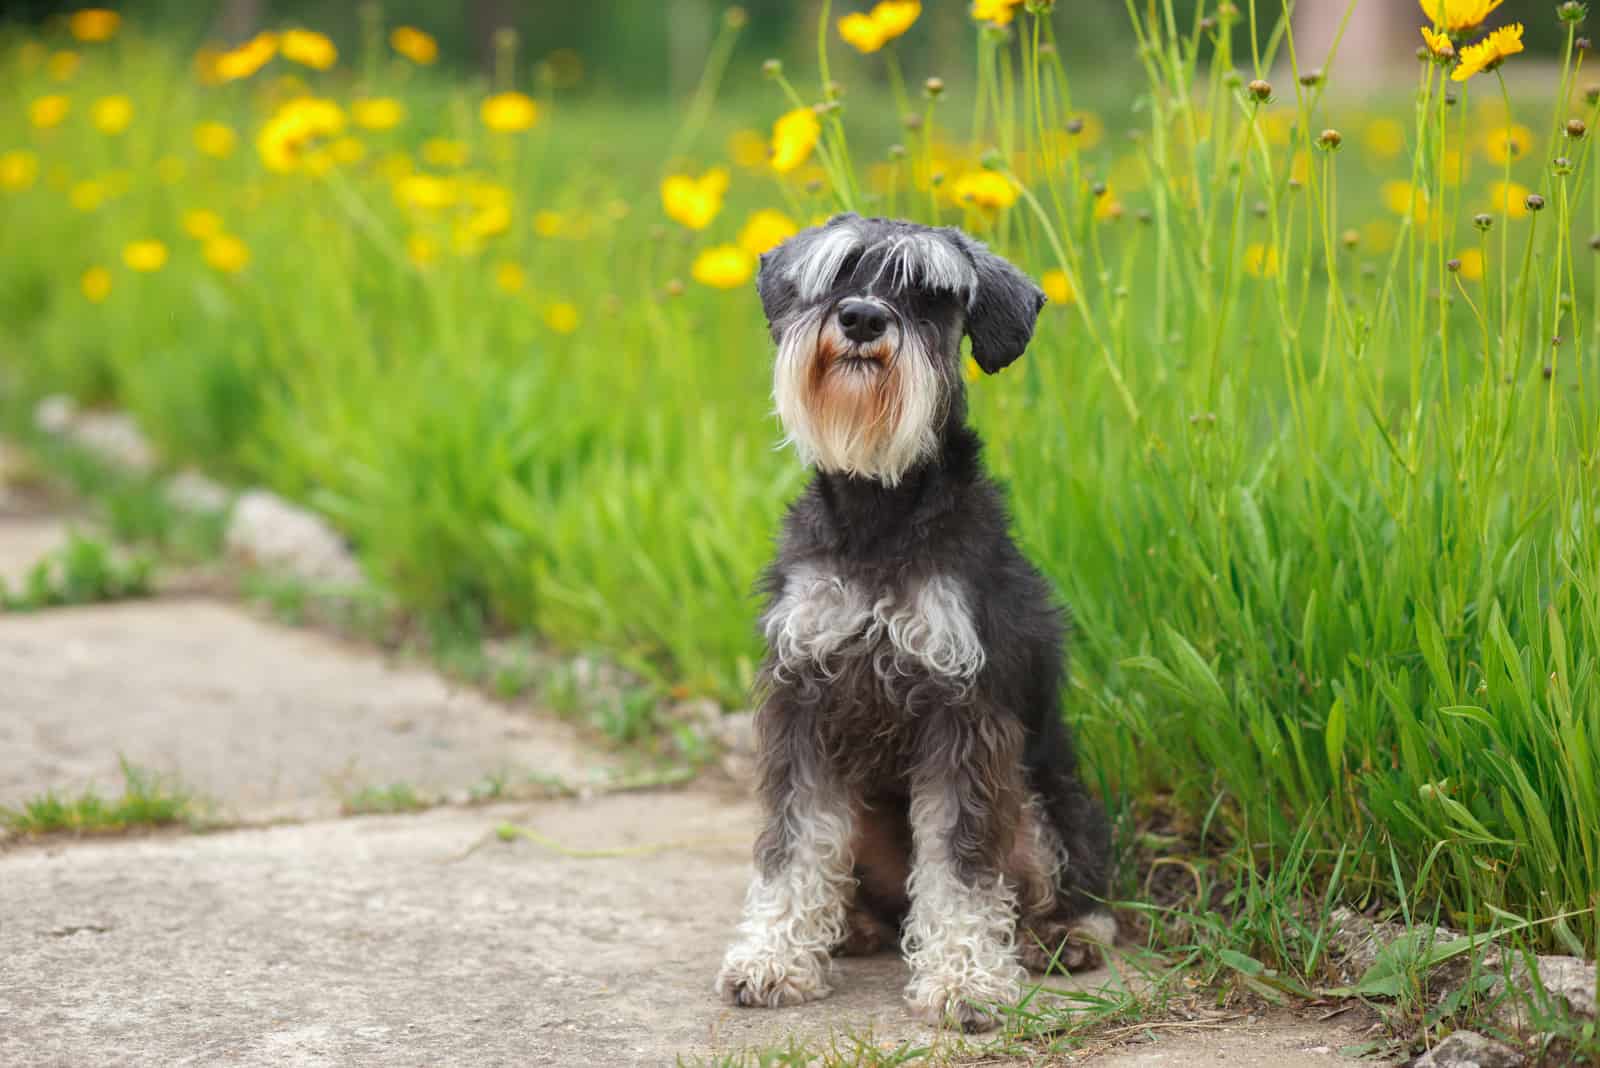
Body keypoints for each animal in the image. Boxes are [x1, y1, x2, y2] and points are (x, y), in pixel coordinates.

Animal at [720, 212, 1120, 1029]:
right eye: (839, 273)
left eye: (931, 293)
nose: (862, 319)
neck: (879, 507)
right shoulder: (803, 699)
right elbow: (794, 845)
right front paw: (773, 956)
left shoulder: (963, 714)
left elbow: (962, 864)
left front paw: (965, 980)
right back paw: (852, 927)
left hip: (1044, 801)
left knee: (1065, 885)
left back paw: (1062, 939)